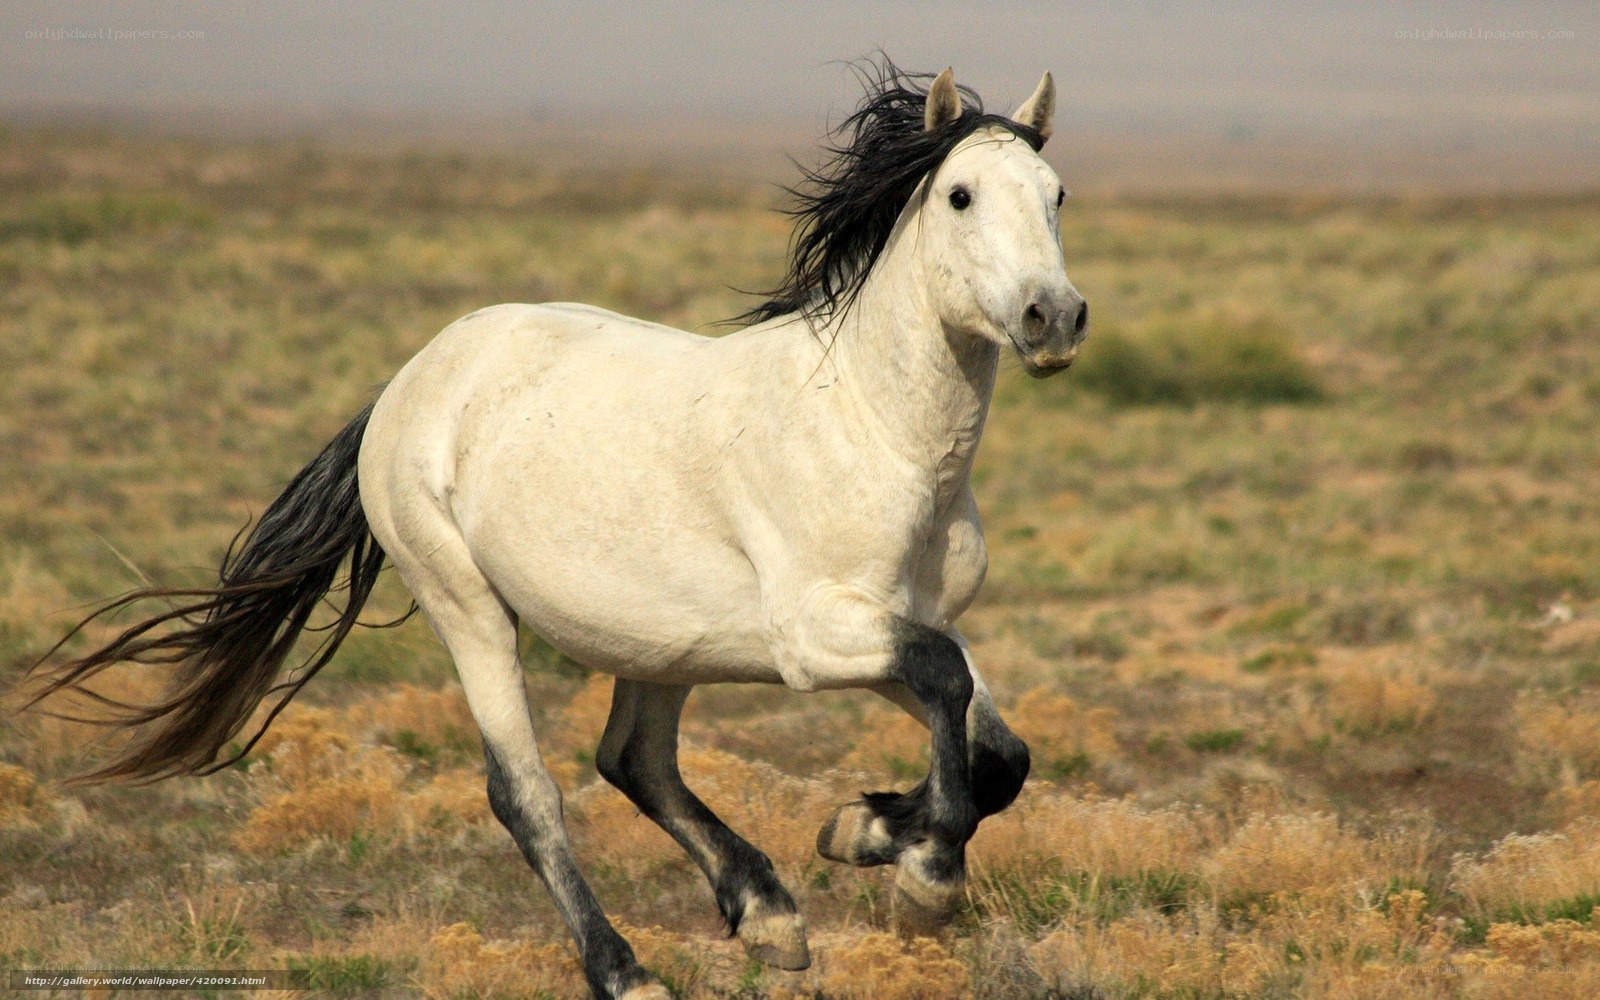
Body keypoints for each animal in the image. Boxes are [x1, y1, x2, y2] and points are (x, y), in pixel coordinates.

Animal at [25, 62, 1087, 999]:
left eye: (1057, 194)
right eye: (959, 195)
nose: (1054, 317)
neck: (872, 431)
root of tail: (409, 382)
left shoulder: (906, 625)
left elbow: (997, 750)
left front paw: (861, 829)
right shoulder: (816, 639)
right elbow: (950, 691)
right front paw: (923, 876)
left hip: (667, 645)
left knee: (635, 761)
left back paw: (770, 916)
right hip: (469, 610)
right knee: (527, 794)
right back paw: (627, 970)